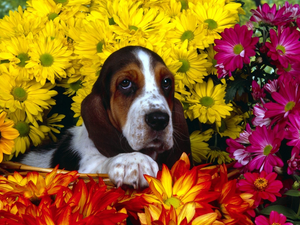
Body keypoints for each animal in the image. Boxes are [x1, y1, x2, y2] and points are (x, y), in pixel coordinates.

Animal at [19, 46, 191, 190]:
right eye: (125, 83)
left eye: (166, 82)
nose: (159, 120)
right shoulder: (85, 167)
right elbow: (98, 164)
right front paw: (133, 161)